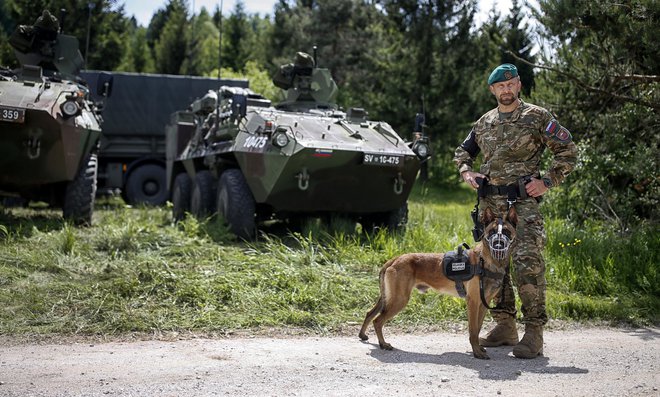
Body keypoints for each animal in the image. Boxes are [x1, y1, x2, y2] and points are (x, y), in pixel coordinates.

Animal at [358, 204, 520, 358]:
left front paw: (479, 348)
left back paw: (363, 335)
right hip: (399, 299)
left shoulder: (483, 304)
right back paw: (383, 344)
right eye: (492, 231)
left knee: (369, 313)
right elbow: (473, 330)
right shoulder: (473, 302)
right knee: (377, 320)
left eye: (506, 232)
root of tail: (394, 260)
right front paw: (477, 352)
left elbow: (478, 328)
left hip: (389, 298)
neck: (487, 261)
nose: (498, 244)